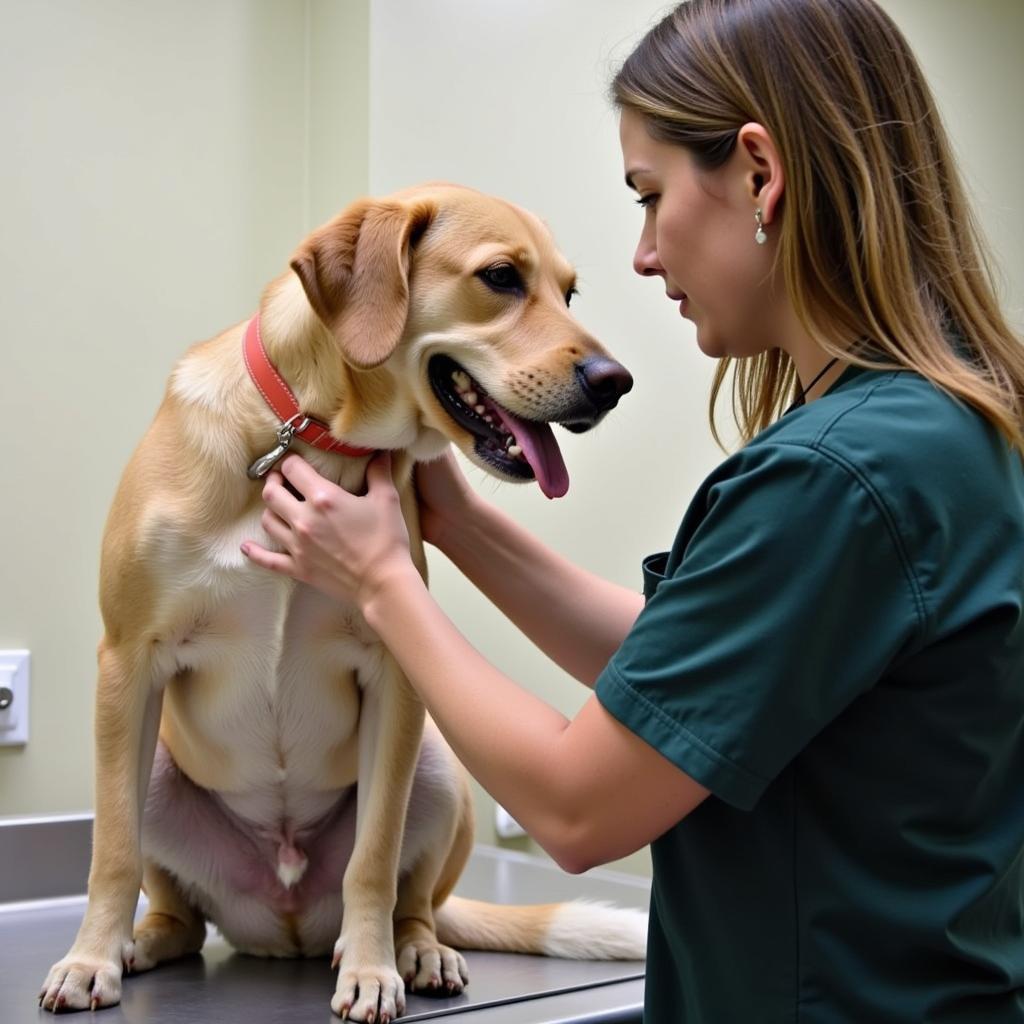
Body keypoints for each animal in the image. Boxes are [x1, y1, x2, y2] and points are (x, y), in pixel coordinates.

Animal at [44, 180, 643, 1019]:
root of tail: (284, 921)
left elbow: (374, 858)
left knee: (414, 901)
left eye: (569, 292)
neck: (313, 438)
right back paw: (140, 944)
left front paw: (371, 970)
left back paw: (419, 951)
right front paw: (89, 957)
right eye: (501, 277)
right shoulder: (127, 662)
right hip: (158, 761)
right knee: (178, 915)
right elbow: (112, 853)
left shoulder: (394, 674)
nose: (616, 382)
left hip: (438, 767)